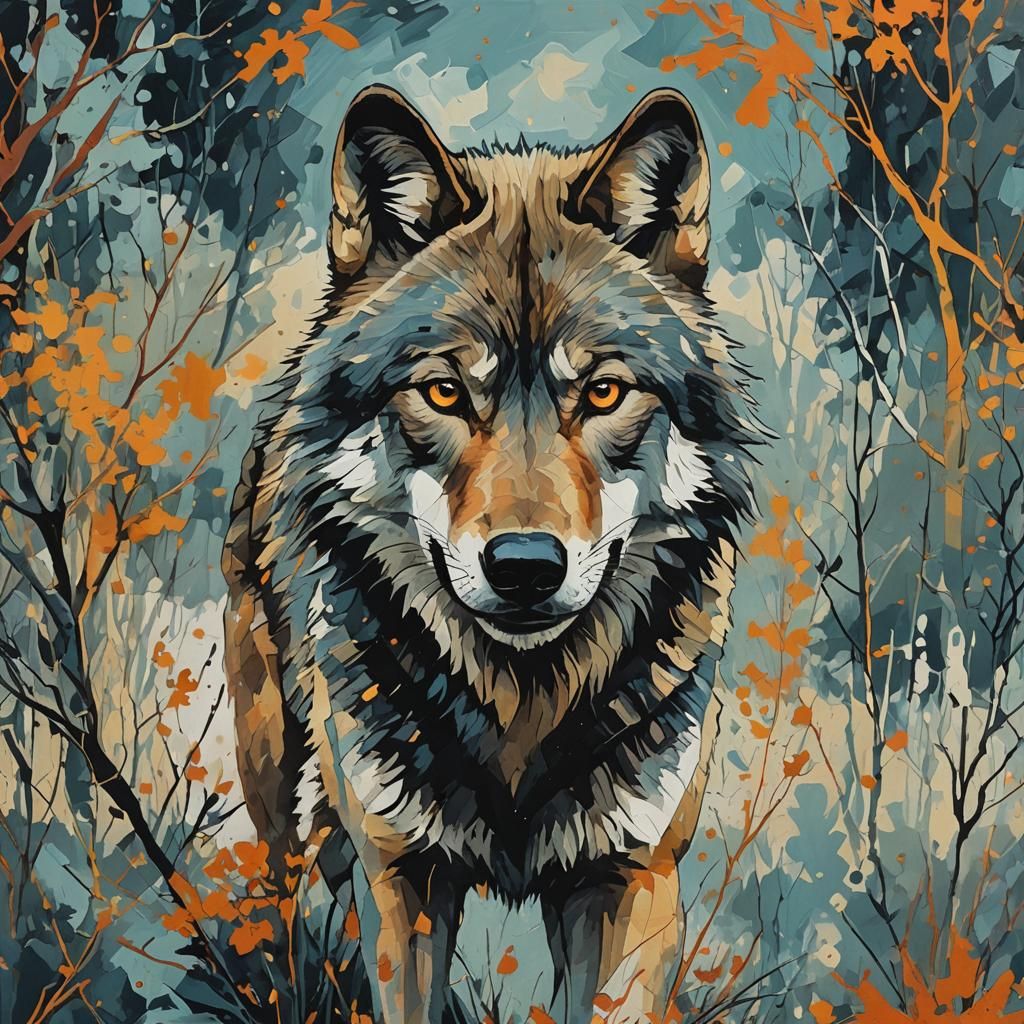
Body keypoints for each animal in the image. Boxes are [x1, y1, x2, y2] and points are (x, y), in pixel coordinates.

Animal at [223, 84, 756, 1024]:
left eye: (604, 392)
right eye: (444, 391)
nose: (525, 566)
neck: (520, 709)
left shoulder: (631, 875)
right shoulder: (401, 876)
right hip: (280, 800)